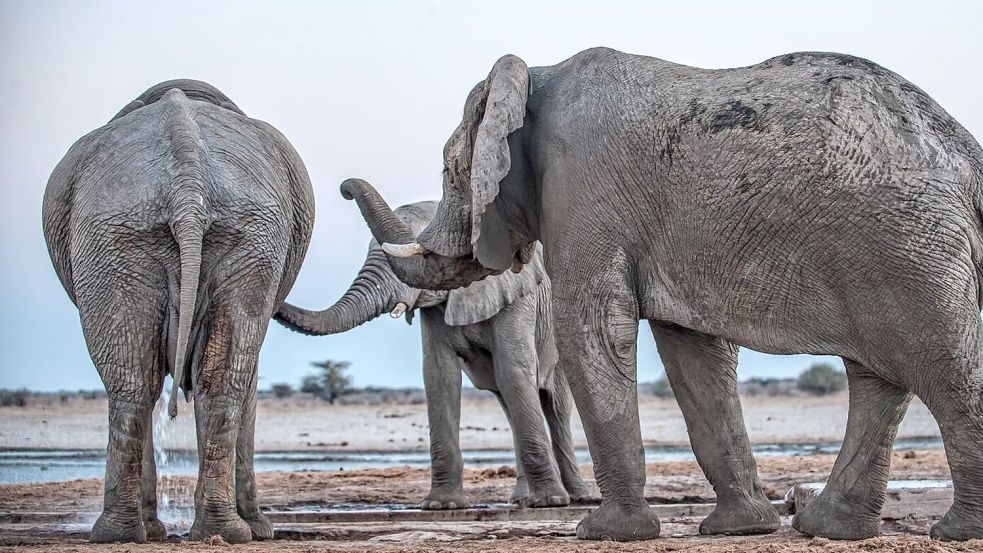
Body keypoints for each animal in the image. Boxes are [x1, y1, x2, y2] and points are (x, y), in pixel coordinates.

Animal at [43, 80, 316, 540]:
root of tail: (188, 189)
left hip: (155, 237)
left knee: (146, 382)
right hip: (137, 236)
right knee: (163, 383)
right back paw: (176, 532)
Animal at [272, 179, 588, 506]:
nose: (345, 190)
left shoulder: (518, 297)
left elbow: (513, 371)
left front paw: (549, 502)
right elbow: (440, 377)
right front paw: (442, 504)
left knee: (555, 405)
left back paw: (577, 497)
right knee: (508, 403)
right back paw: (521, 499)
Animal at [340, 49, 983, 540]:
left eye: (451, 172)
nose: (344, 187)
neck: (534, 77)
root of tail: (966, 151)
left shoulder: (582, 190)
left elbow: (594, 329)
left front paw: (605, 534)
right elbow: (693, 354)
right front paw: (738, 530)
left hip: (909, 243)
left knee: (945, 370)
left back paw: (954, 532)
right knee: (880, 377)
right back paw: (828, 528)